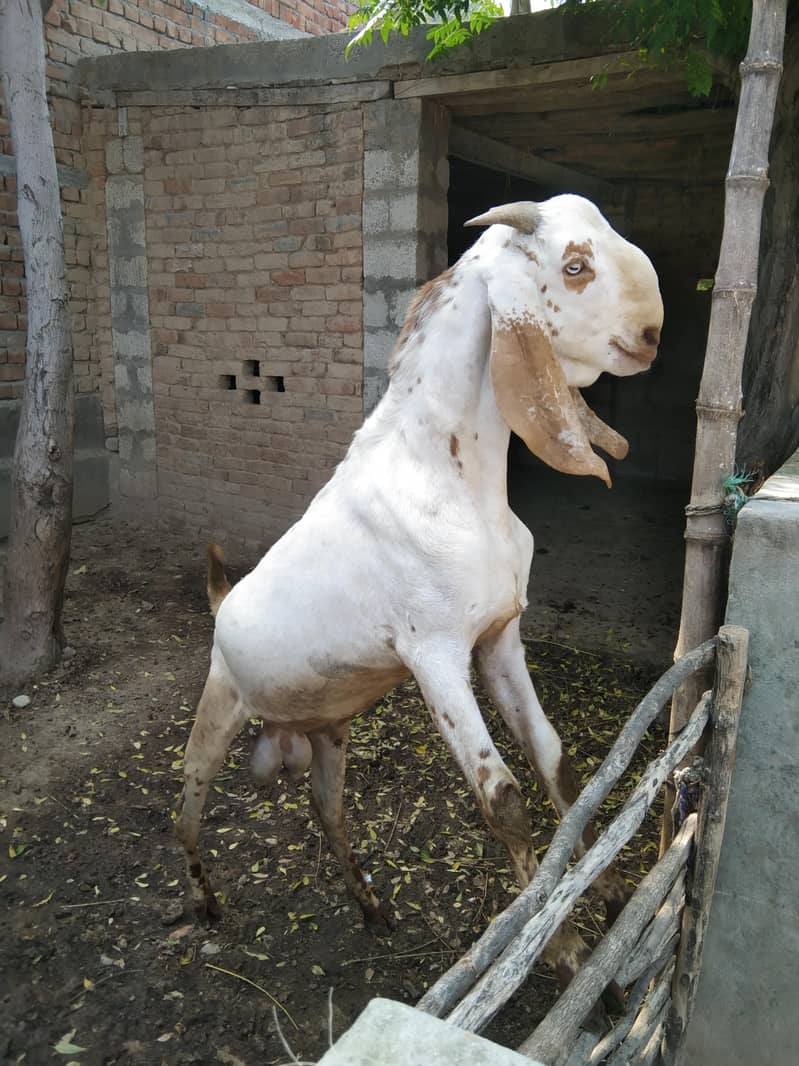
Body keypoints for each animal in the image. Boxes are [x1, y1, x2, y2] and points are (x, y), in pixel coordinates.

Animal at [175, 194, 663, 986]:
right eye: (575, 265)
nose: (648, 338)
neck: (448, 479)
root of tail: (223, 607)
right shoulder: (433, 655)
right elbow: (502, 800)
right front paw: (561, 952)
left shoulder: (500, 636)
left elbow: (553, 755)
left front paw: (611, 889)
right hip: (217, 706)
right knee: (185, 812)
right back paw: (206, 904)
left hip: (329, 730)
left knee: (327, 808)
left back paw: (373, 909)